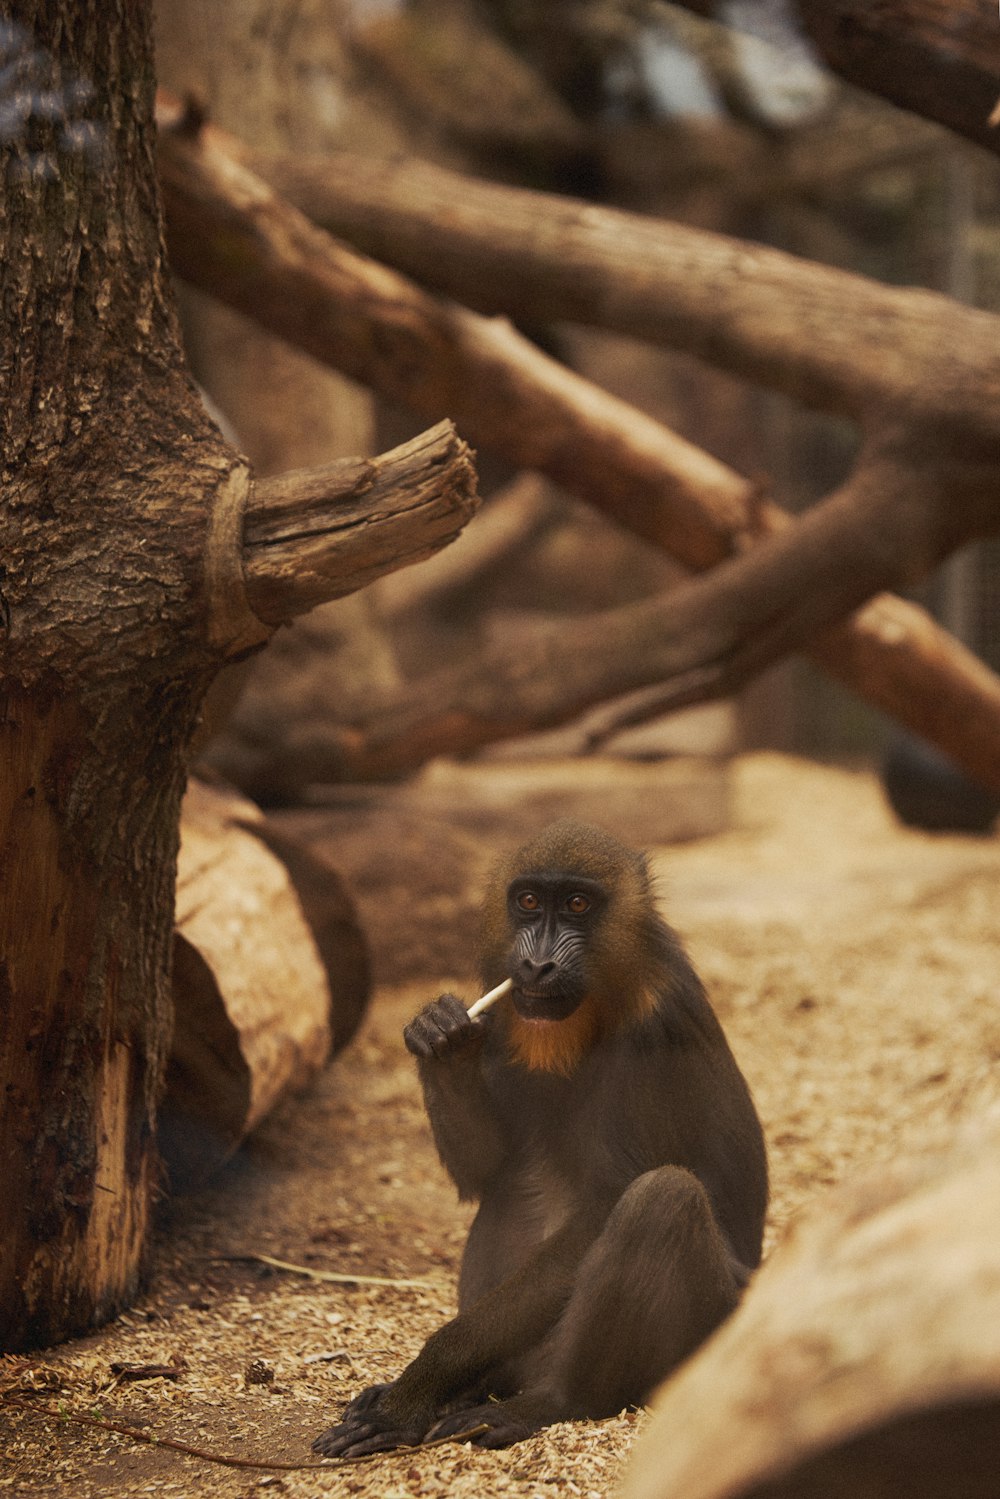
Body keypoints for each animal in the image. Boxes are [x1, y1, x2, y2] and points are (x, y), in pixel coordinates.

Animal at [313, 815, 767, 1457]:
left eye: (577, 904)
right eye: (528, 902)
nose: (538, 966)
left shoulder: (654, 1031)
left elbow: (602, 1209)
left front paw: (410, 1396)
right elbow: (487, 1171)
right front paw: (440, 1034)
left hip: (701, 1341)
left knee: (663, 1198)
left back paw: (542, 1404)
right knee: (511, 1188)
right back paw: (471, 1389)